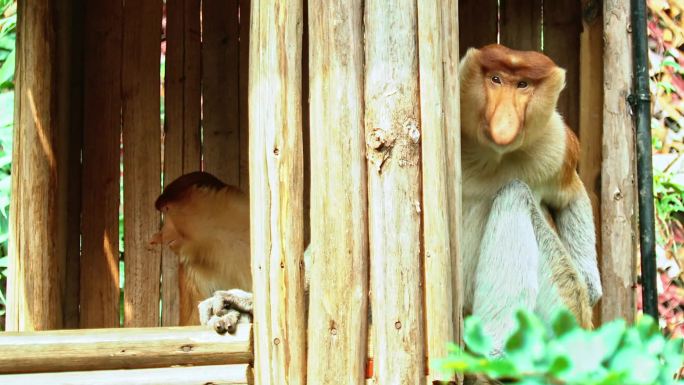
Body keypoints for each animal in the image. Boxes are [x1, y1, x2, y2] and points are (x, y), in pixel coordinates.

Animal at [462, 44, 600, 354]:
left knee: (514, 193)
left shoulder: (557, 143)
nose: (504, 123)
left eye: (522, 84)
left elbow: (571, 195)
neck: (493, 156)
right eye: (496, 79)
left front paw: (591, 288)